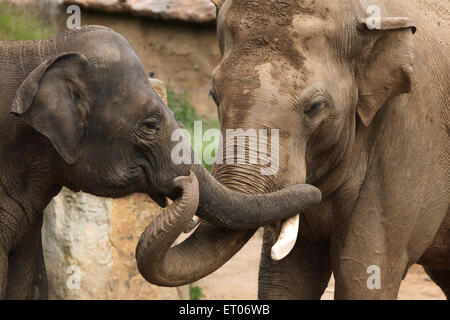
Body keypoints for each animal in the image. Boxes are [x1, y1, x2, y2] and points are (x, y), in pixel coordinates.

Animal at [138, 0, 450, 300]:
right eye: (213, 95)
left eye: (315, 107)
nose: (182, 182)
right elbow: (287, 277)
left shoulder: (410, 135)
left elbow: (363, 273)